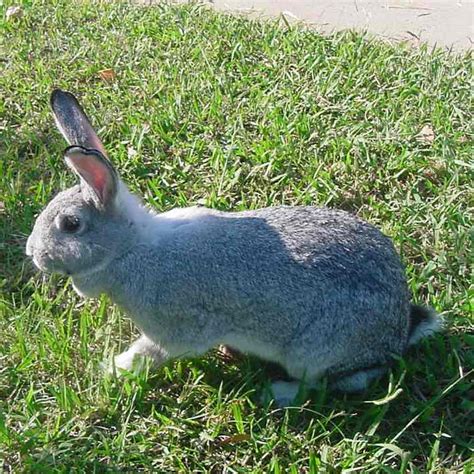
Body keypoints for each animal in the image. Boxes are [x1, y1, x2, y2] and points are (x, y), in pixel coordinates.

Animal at [25, 90, 442, 406]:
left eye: (71, 225)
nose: (32, 252)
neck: (130, 248)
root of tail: (397, 331)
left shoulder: (177, 329)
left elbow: (150, 352)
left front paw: (114, 369)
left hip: (314, 351)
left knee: (331, 381)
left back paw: (279, 392)